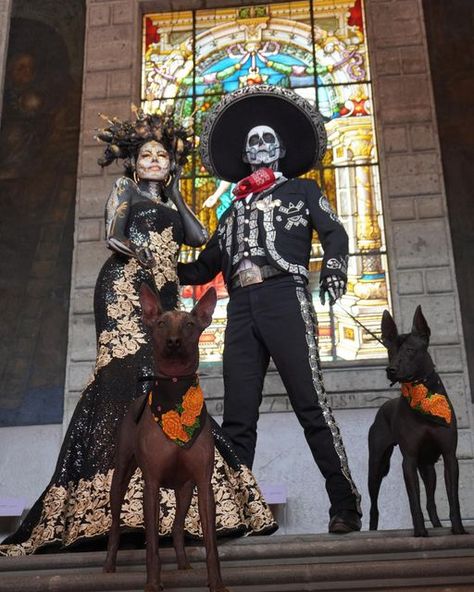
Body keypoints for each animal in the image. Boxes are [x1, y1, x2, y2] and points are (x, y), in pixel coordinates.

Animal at [104, 282, 230, 592]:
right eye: (161, 324)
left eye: (189, 325)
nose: (173, 341)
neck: (174, 389)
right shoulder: (151, 484)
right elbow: (151, 544)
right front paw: (152, 584)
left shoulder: (203, 484)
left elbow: (211, 545)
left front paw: (216, 583)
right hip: (121, 477)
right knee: (115, 527)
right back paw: (109, 566)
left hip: (184, 490)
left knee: (176, 527)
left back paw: (184, 564)